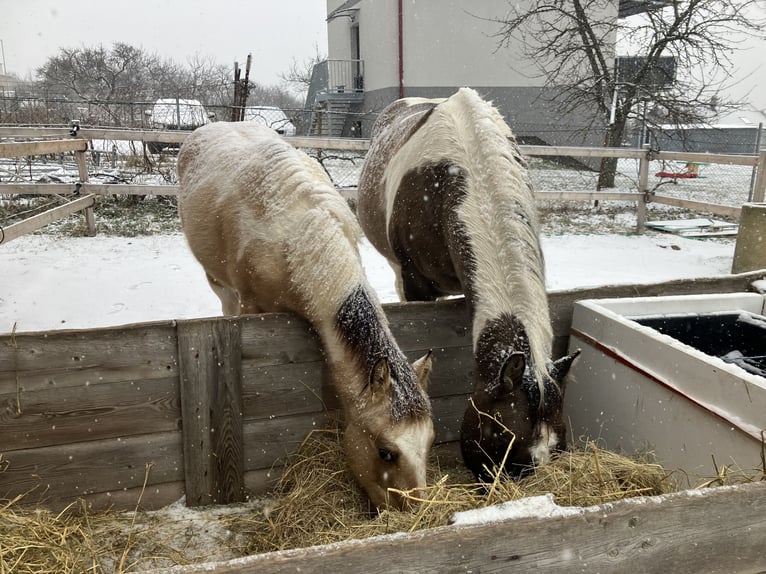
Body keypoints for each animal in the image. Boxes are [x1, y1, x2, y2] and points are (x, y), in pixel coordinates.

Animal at [177, 122, 434, 510]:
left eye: (429, 442)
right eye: (386, 453)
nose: (419, 514)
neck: (295, 240)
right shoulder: (252, 306)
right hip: (218, 282)